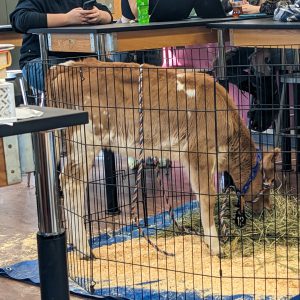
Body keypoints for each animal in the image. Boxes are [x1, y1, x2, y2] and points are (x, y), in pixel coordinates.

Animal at [47, 58, 278, 258]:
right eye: (270, 183)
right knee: (71, 183)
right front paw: (215, 247)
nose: (269, 209)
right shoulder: (199, 153)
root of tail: (66, 67)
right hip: (85, 140)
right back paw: (85, 250)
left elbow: (201, 194)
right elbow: (208, 196)